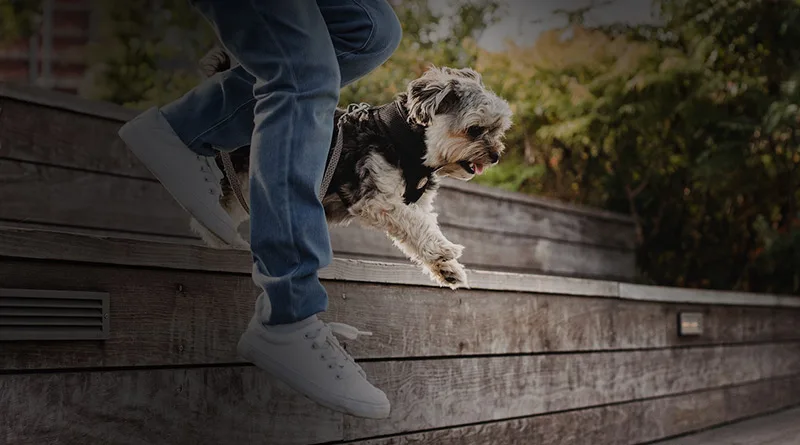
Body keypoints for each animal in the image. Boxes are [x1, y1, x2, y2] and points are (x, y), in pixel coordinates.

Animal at [197, 48, 516, 290]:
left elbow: (420, 227)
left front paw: (447, 268)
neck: (406, 141)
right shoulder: (376, 199)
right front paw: (443, 248)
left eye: (498, 130)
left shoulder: (415, 203)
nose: (495, 156)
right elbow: (416, 225)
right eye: (475, 130)